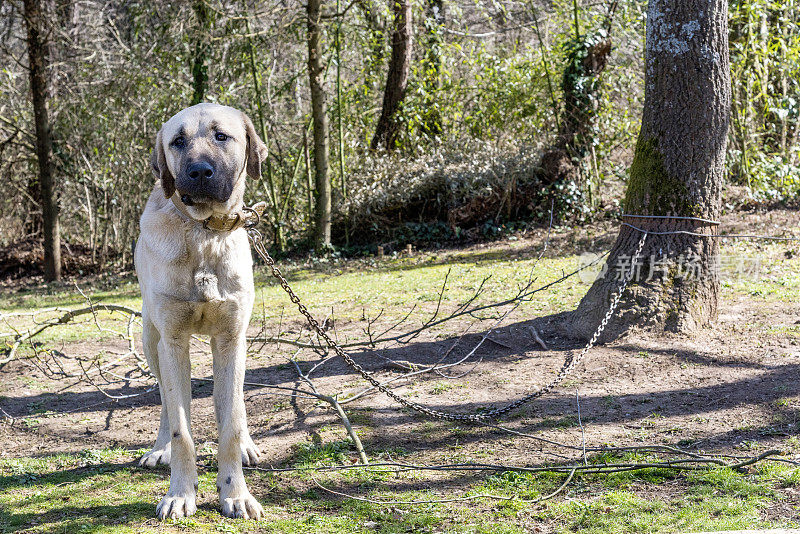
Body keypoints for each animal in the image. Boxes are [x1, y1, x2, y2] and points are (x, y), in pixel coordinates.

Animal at [133, 102, 268, 520]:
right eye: (177, 142)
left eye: (221, 136)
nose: (199, 172)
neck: (205, 234)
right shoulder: (173, 342)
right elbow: (181, 428)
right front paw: (180, 493)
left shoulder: (231, 339)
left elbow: (229, 426)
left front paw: (235, 493)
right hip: (151, 341)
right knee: (164, 400)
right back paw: (159, 448)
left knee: (234, 406)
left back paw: (247, 445)